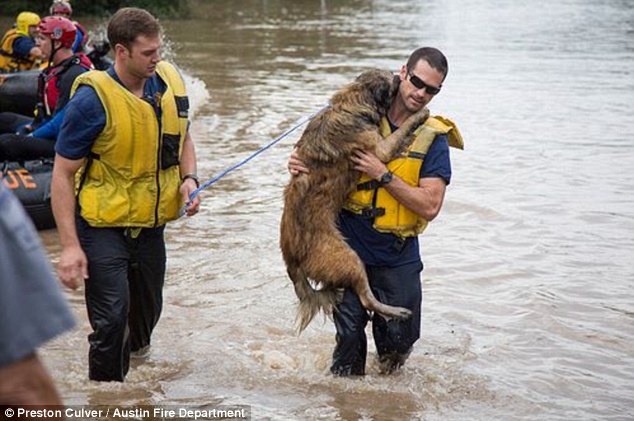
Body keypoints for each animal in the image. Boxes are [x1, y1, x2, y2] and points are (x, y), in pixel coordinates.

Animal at [280, 69, 430, 332]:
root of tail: (292, 261)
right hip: (348, 258)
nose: (398, 75)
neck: (351, 105)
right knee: (366, 298)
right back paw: (397, 311)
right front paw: (420, 115)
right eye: (394, 80)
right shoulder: (379, 149)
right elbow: (400, 133)